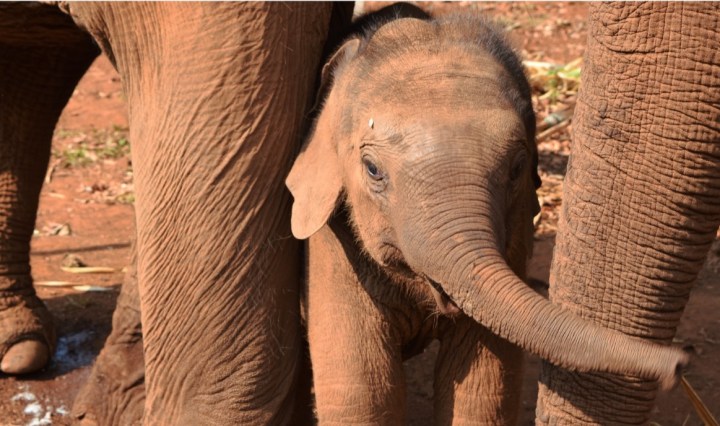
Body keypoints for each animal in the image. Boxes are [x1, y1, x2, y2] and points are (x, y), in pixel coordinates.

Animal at [286, 6, 693, 425]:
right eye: (371, 169)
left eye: (517, 167)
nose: (681, 362)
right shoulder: (331, 242)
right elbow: (362, 393)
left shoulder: (516, 227)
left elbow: (484, 386)